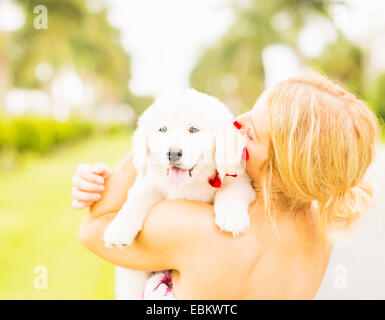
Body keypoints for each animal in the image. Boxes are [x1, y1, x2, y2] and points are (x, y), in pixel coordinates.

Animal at [102, 88, 255, 300]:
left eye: (194, 130)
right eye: (162, 130)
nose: (173, 153)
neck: (190, 184)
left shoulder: (238, 175)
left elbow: (232, 188)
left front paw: (232, 218)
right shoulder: (151, 180)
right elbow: (138, 197)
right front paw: (119, 228)